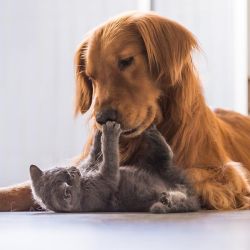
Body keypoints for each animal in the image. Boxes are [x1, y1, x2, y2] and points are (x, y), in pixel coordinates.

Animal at [30, 121, 200, 213]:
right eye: (69, 179)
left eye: (64, 171)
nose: (74, 170)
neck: (83, 187)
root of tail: (192, 195)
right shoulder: (104, 182)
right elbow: (110, 158)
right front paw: (109, 132)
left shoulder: (89, 165)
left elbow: (93, 156)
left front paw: (98, 134)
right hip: (168, 173)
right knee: (167, 157)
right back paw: (167, 199)